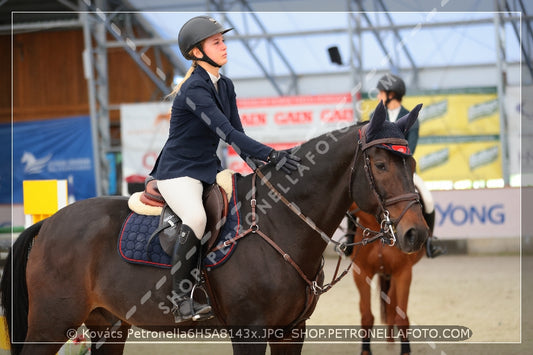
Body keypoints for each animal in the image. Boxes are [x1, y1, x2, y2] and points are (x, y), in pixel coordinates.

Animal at [0, 101, 428, 354]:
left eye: (412, 164)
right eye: (381, 165)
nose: (417, 234)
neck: (280, 222)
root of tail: (49, 224)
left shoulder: (291, 332)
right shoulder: (249, 331)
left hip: (108, 327)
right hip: (51, 325)